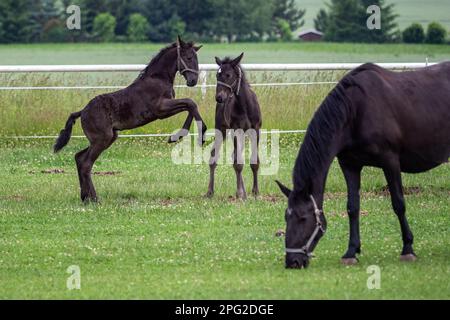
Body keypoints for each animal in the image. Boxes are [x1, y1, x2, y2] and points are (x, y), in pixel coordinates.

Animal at [54, 37, 206, 202]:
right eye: (189, 58)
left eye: (196, 58)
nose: (193, 80)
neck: (158, 79)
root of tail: (82, 112)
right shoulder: (160, 109)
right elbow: (191, 103)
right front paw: (200, 135)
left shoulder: (165, 108)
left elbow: (189, 106)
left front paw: (176, 136)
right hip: (102, 139)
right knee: (86, 164)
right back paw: (94, 199)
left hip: (107, 138)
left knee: (79, 158)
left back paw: (85, 197)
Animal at [208, 54, 264, 200]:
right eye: (217, 75)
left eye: (228, 75)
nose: (219, 97)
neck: (245, 106)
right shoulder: (235, 129)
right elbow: (238, 163)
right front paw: (239, 193)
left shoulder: (256, 130)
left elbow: (254, 161)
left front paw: (255, 192)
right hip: (221, 129)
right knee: (214, 156)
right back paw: (210, 191)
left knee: (235, 154)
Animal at [276, 62, 448, 268]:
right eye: (286, 217)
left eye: (302, 218)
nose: (292, 262)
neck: (356, 110)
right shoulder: (350, 165)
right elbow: (353, 207)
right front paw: (351, 252)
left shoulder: (390, 161)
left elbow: (398, 203)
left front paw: (408, 249)